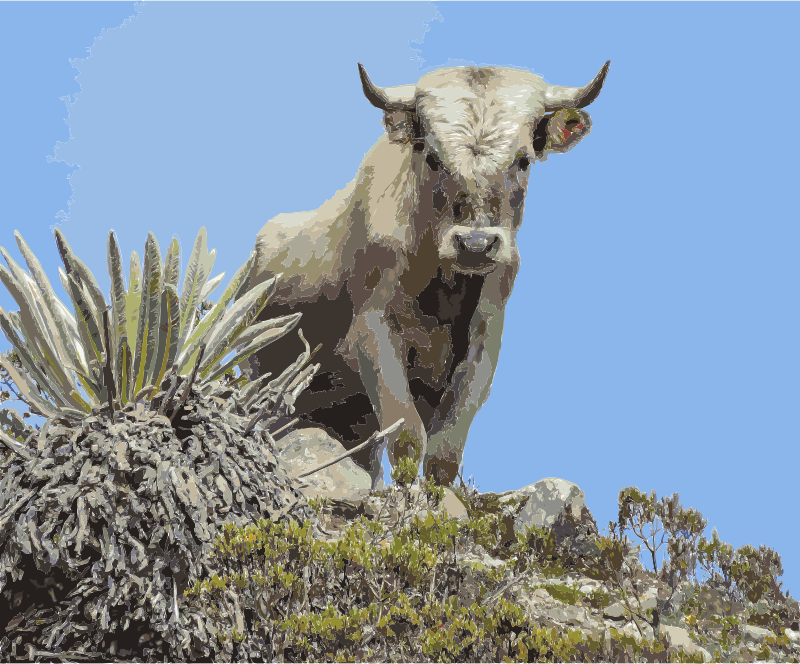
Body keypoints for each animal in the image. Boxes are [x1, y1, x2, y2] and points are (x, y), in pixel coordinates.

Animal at [241, 62, 608, 488]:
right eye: (433, 158)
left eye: (524, 160)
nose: (476, 243)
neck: (446, 289)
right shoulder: (374, 331)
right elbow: (406, 438)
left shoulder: (485, 340)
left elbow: (444, 452)